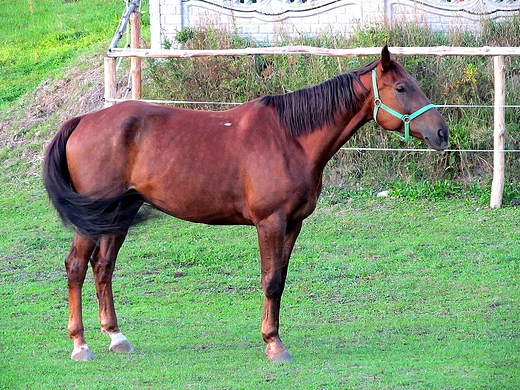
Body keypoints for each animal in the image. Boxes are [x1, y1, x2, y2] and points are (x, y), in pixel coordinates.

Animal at [43, 45, 446, 362]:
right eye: (401, 87)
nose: (441, 133)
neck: (290, 137)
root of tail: (82, 121)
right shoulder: (270, 222)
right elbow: (270, 280)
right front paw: (274, 345)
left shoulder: (293, 224)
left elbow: (280, 279)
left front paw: (273, 338)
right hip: (92, 218)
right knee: (76, 266)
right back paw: (80, 345)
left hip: (116, 215)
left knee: (103, 267)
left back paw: (116, 337)